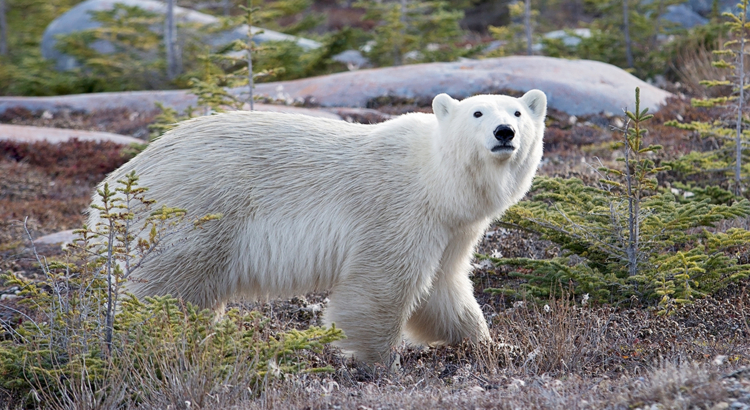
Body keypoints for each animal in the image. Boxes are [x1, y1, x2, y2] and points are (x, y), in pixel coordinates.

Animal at [88, 91, 548, 364]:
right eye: (477, 112)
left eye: (518, 111)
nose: (504, 132)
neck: (437, 178)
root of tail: (118, 181)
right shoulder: (398, 209)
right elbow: (380, 286)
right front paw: (374, 361)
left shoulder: (453, 228)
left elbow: (443, 290)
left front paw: (494, 344)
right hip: (195, 212)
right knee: (168, 290)